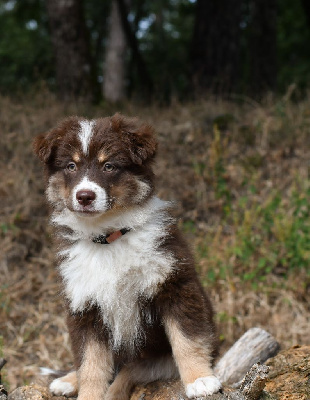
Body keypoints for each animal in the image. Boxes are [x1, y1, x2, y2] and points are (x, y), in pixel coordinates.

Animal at [34, 113, 222, 400]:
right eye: (71, 166)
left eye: (109, 166)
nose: (85, 196)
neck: (108, 238)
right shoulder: (84, 306)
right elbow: (90, 363)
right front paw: (87, 393)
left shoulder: (174, 284)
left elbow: (187, 338)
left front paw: (200, 379)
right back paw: (67, 380)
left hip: (153, 361)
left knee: (128, 372)